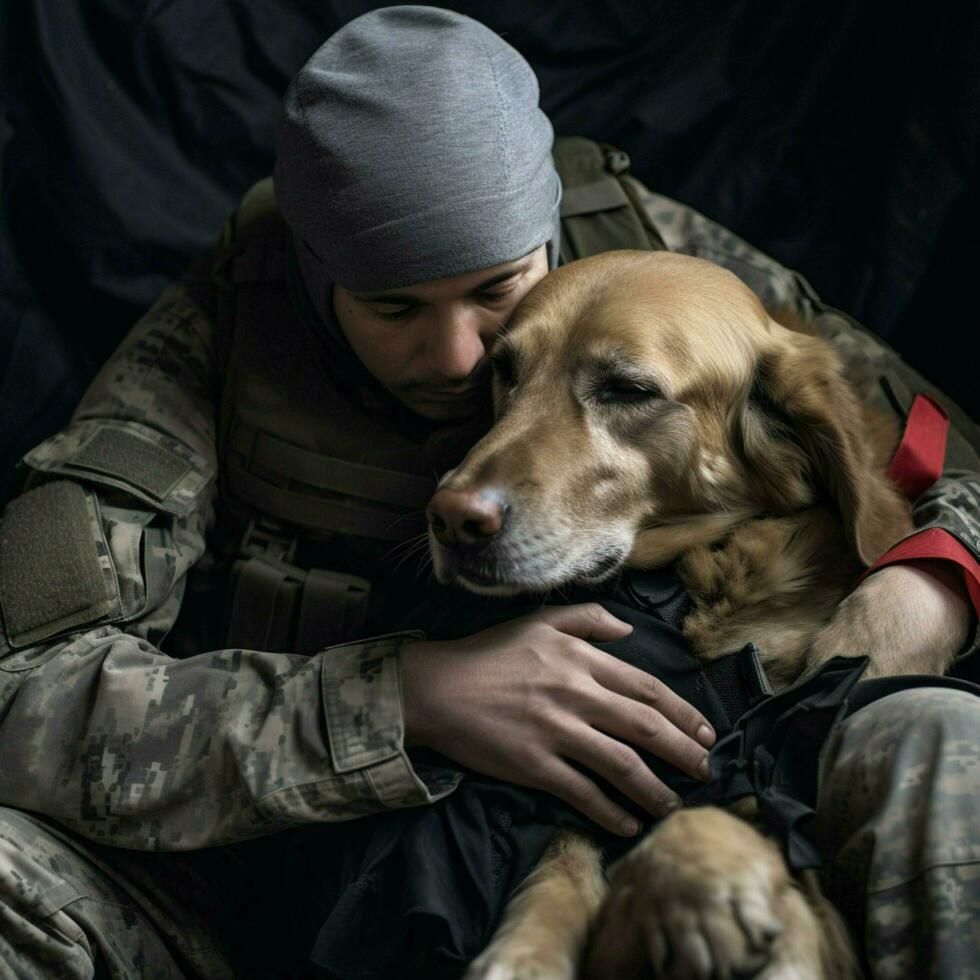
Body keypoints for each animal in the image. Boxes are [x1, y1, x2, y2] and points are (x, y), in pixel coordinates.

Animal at [424, 251, 924, 980]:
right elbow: (562, 863)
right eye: (505, 370)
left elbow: (722, 792)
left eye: (628, 390)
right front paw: (526, 951)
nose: (450, 520)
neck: (684, 581)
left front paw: (705, 866)